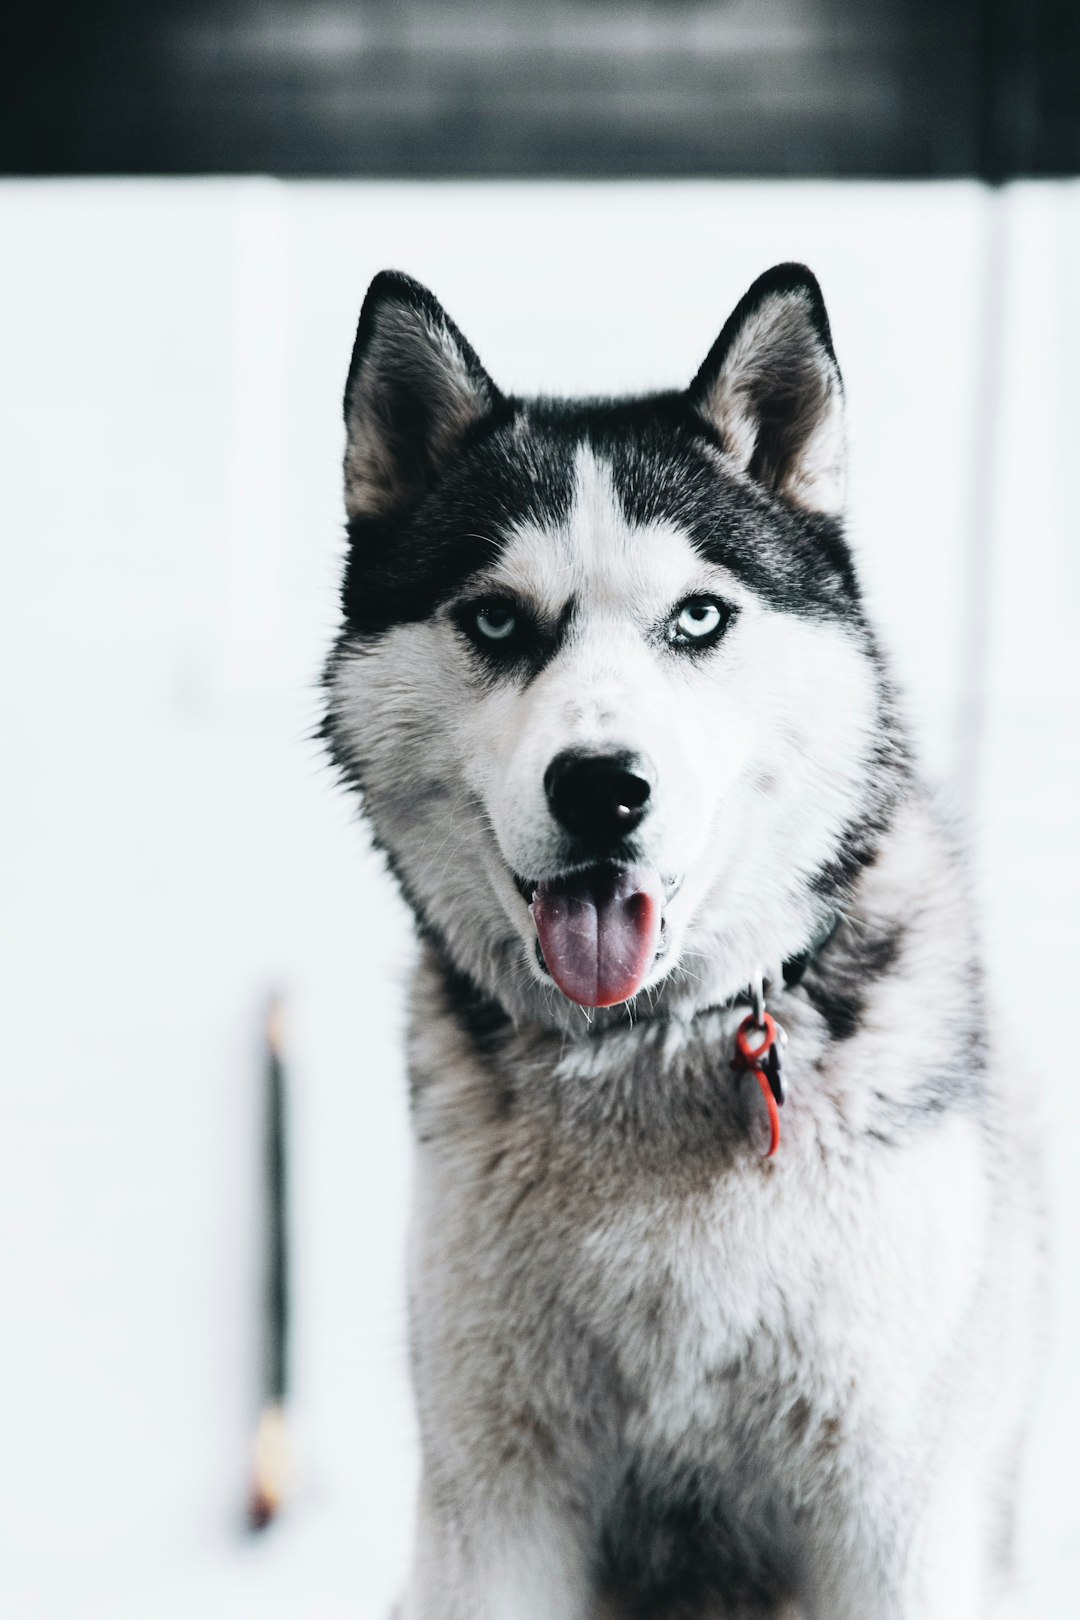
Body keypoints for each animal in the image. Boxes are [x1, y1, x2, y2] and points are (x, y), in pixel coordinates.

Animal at [325, 268, 1042, 1620]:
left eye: (699, 616)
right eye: (495, 621)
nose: (601, 788)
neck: (645, 1052)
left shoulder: (889, 1511)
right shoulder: (494, 1509)